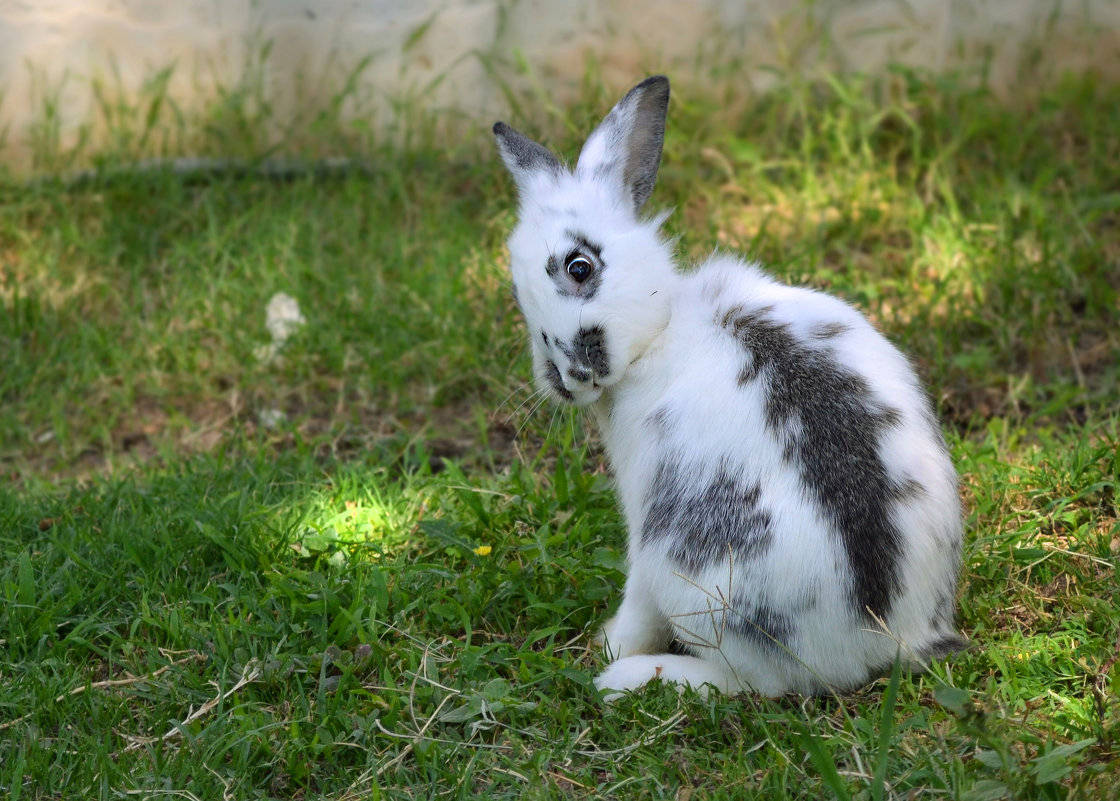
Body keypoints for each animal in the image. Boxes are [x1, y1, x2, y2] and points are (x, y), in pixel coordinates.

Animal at [495, 76, 967, 703]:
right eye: (517, 296)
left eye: (579, 266)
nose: (568, 378)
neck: (663, 329)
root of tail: (883, 640)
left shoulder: (643, 522)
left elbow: (637, 605)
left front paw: (610, 645)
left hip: (686, 570)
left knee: (753, 683)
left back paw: (633, 677)